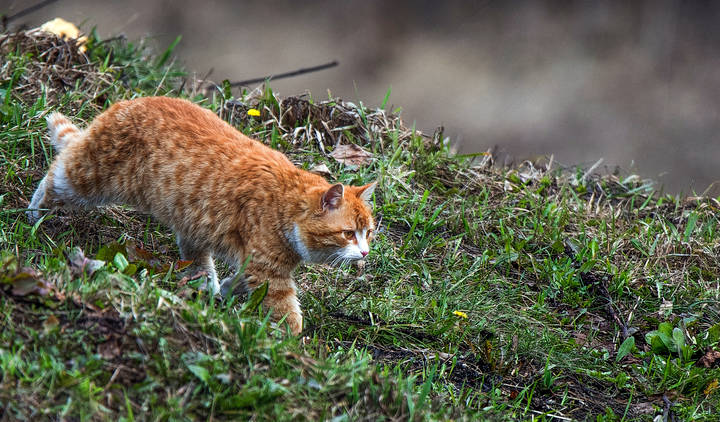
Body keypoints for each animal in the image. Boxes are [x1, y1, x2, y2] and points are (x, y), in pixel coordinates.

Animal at [28, 97, 376, 334]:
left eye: (368, 233)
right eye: (348, 233)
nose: (365, 253)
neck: (285, 203)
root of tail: (128, 103)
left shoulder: (255, 263)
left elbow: (239, 281)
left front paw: (225, 291)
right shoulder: (269, 272)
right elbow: (287, 311)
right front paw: (293, 345)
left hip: (192, 222)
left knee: (195, 259)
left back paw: (205, 288)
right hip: (90, 177)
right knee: (57, 171)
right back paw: (33, 212)